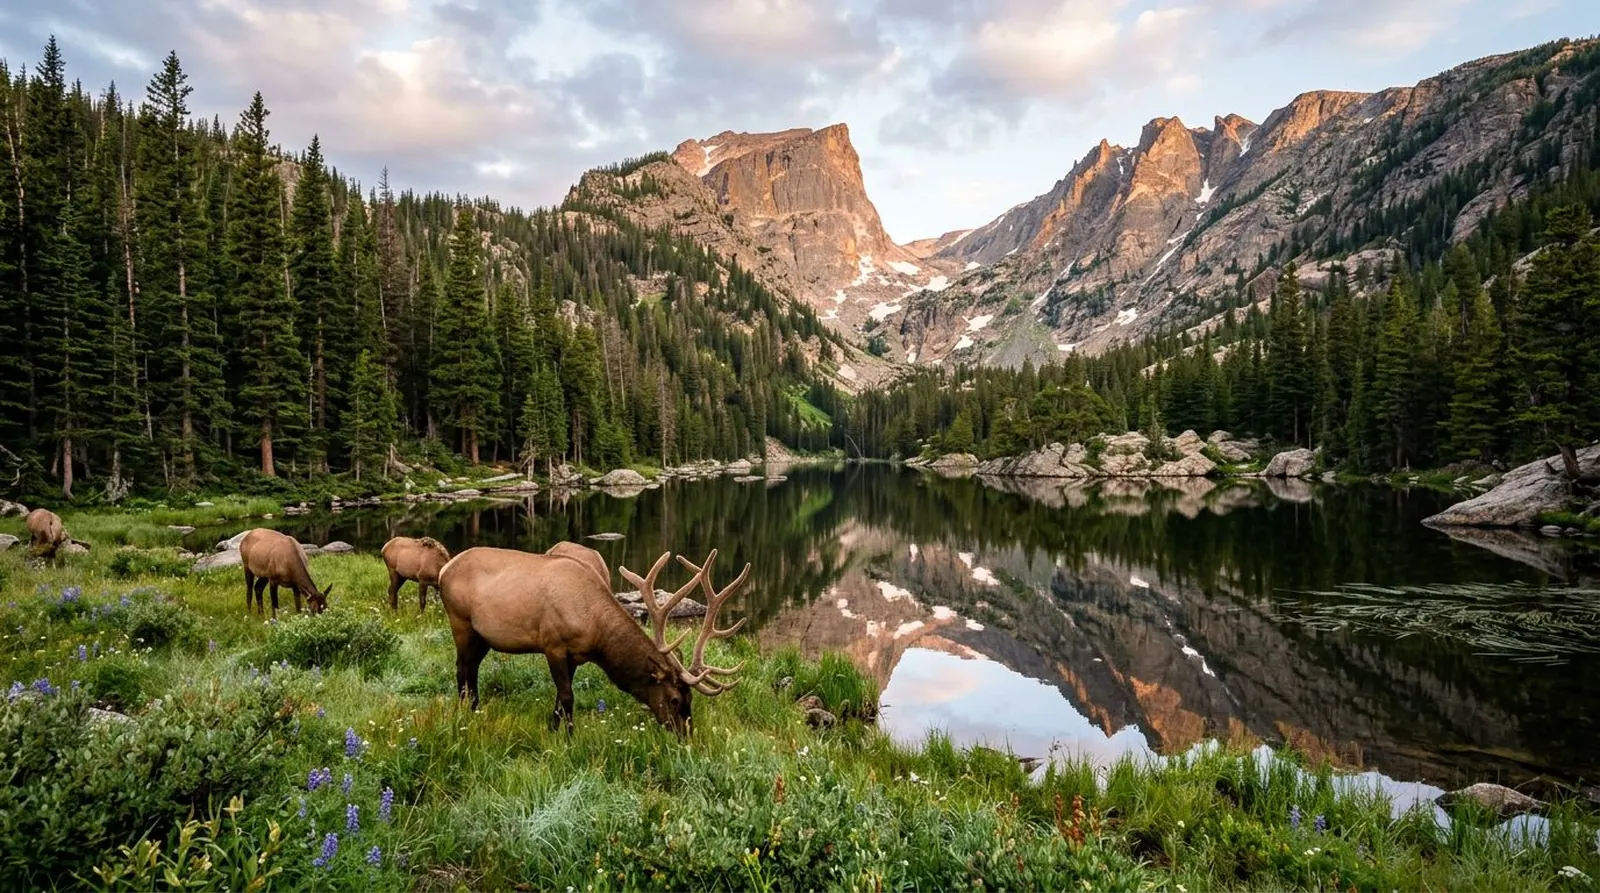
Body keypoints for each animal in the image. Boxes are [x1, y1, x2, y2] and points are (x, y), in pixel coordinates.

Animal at [436, 546, 748, 735]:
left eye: (690, 698)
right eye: (673, 699)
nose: (686, 734)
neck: (595, 633)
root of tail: (444, 569)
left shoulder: (575, 655)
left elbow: (559, 697)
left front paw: (553, 728)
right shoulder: (553, 645)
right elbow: (567, 695)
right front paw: (570, 736)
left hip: (483, 635)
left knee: (472, 668)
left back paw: (475, 708)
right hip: (460, 621)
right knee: (461, 668)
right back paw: (464, 712)